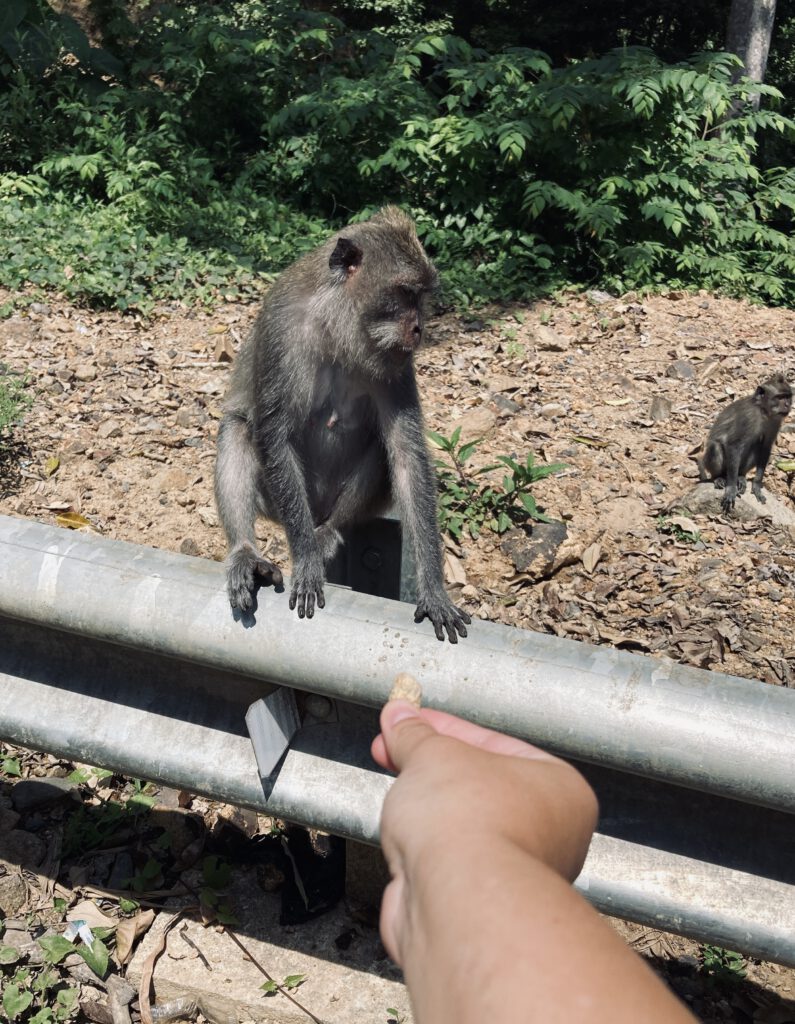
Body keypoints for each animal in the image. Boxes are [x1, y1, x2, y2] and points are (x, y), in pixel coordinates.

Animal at [214, 203, 469, 643]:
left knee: (380, 454)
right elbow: (274, 435)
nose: (419, 328)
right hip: (276, 504)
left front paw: (434, 588)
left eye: (420, 297)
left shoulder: (396, 362)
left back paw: (327, 532)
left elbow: (406, 453)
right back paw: (248, 553)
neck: (337, 326)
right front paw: (306, 561)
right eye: (404, 293)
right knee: (240, 430)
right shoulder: (282, 330)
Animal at [700, 372, 790, 512]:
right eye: (779, 397)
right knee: (715, 447)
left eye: (788, 396)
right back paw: (718, 477)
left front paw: (757, 485)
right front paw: (731, 488)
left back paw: (741, 476)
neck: (763, 412)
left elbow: (765, 447)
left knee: (756, 446)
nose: (787, 404)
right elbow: (733, 444)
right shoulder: (748, 417)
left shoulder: (775, 422)